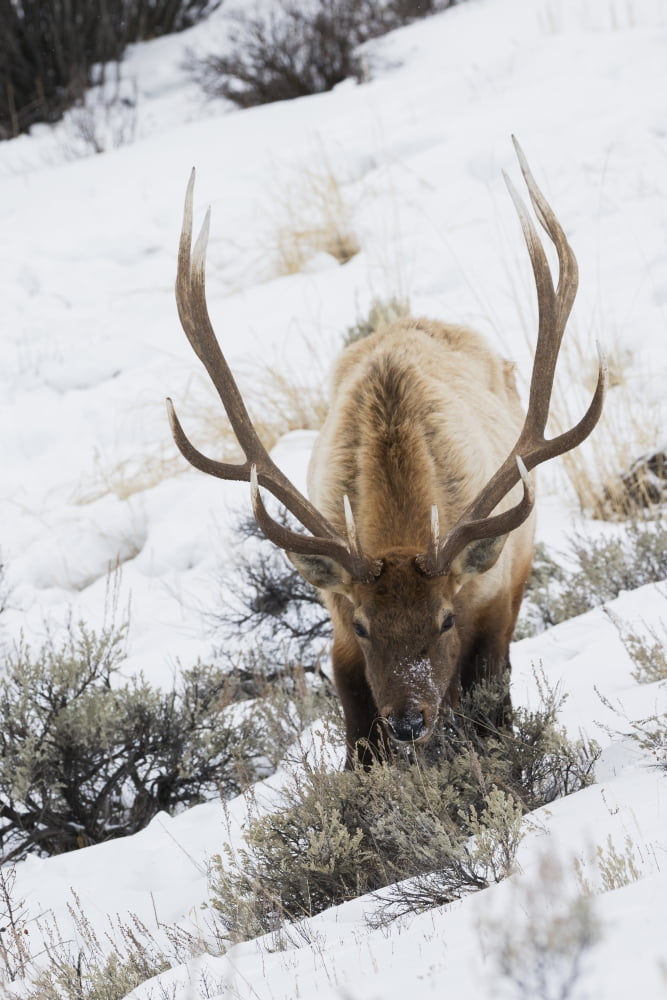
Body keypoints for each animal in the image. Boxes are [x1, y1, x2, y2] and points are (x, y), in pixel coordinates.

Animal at [167, 138, 606, 768]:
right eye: (365, 625)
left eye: (444, 619)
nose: (407, 721)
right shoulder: (337, 627)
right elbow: (357, 753)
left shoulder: (491, 608)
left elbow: (493, 724)